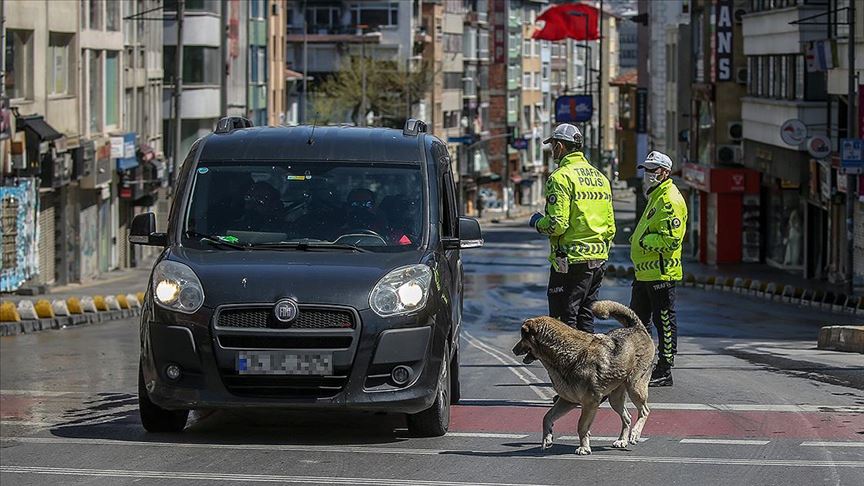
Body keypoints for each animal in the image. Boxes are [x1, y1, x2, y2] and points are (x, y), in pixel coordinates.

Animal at [510, 300, 652, 456]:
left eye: (523, 337)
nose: (513, 350)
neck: (564, 353)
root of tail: (636, 327)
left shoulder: (590, 403)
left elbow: (581, 426)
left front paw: (584, 447)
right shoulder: (567, 400)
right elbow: (547, 417)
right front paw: (547, 438)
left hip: (634, 387)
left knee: (644, 411)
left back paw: (635, 434)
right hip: (615, 398)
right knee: (627, 417)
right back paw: (622, 440)